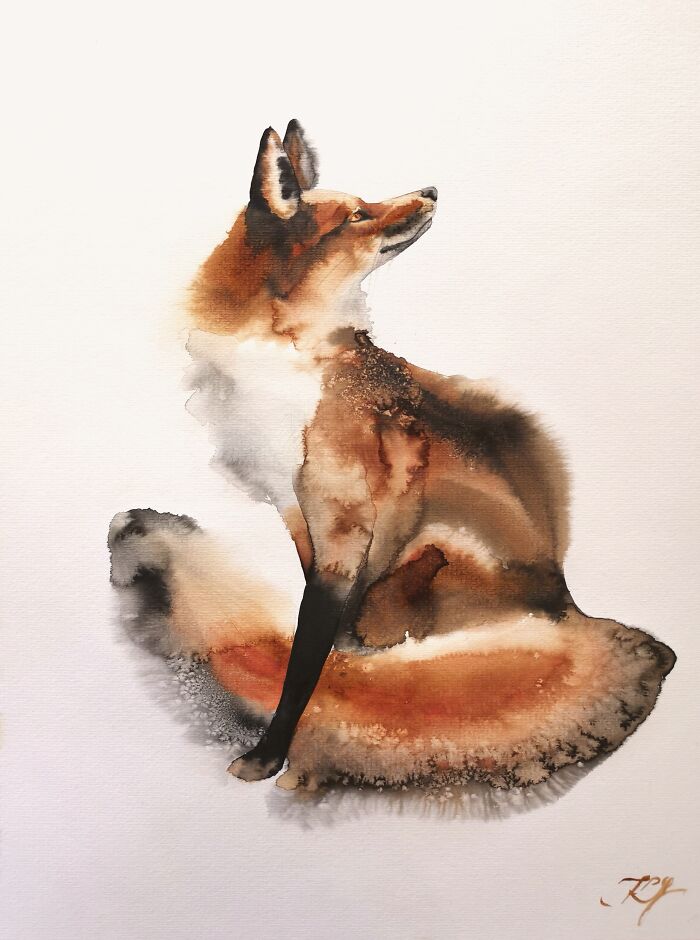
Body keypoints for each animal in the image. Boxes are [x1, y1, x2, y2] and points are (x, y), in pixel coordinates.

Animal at [109, 120, 675, 792]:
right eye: (358, 214)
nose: (431, 188)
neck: (287, 359)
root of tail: (568, 604)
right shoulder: (297, 515)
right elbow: (316, 637)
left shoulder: (345, 525)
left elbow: (305, 661)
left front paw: (270, 754)